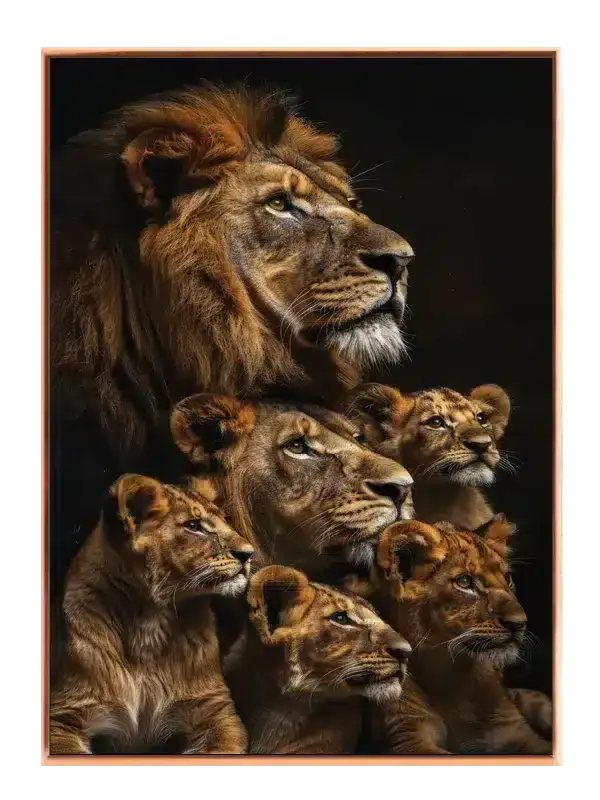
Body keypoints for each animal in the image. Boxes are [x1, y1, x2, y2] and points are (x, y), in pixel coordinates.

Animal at [50, 474, 252, 755]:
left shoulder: (216, 710)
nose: (248, 553)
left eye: (224, 519)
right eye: (193, 525)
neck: (150, 624)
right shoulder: (63, 715)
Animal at [367, 516, 552, 755]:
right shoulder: (409, 737)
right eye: (464, 582)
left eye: (507, 578)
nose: (519, 623)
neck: (456, 675)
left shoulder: (514, 730)